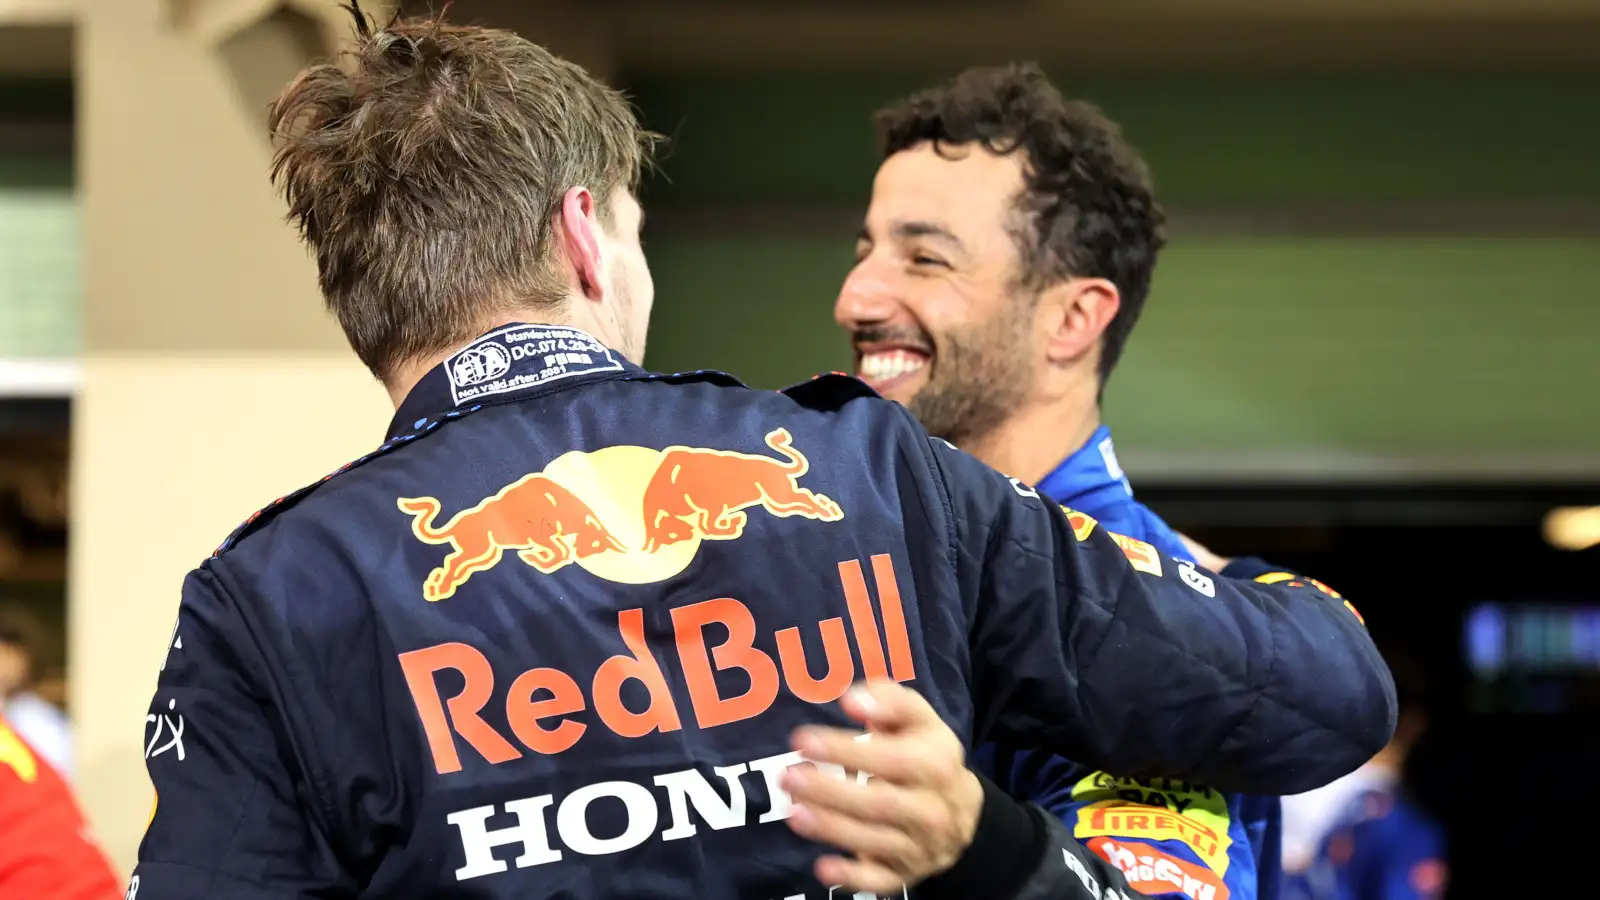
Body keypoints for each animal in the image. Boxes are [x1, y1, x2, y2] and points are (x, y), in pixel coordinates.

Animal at [400, 474, 624, 598]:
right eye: (595, 543)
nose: (585, 554)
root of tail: (456, 525)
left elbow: (559, 552)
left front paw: (538, 558)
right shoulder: (540, 535)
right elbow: (559, 553)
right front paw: (537, 558)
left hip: (487, 552)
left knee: (456, 564)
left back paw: (439, 584)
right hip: (478, 549)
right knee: (454, 563)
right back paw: (440, 587)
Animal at [636, 425, 844, 550]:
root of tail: (778, 466)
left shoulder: (713, 507)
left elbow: (710, 526)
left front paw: (731, 524)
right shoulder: (708, 510)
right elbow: (708, 526)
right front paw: (731, 523)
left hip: (778, 498)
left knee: (805, 498)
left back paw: (826, 510)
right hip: (775, 501)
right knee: (803, 499)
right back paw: (824, 509)